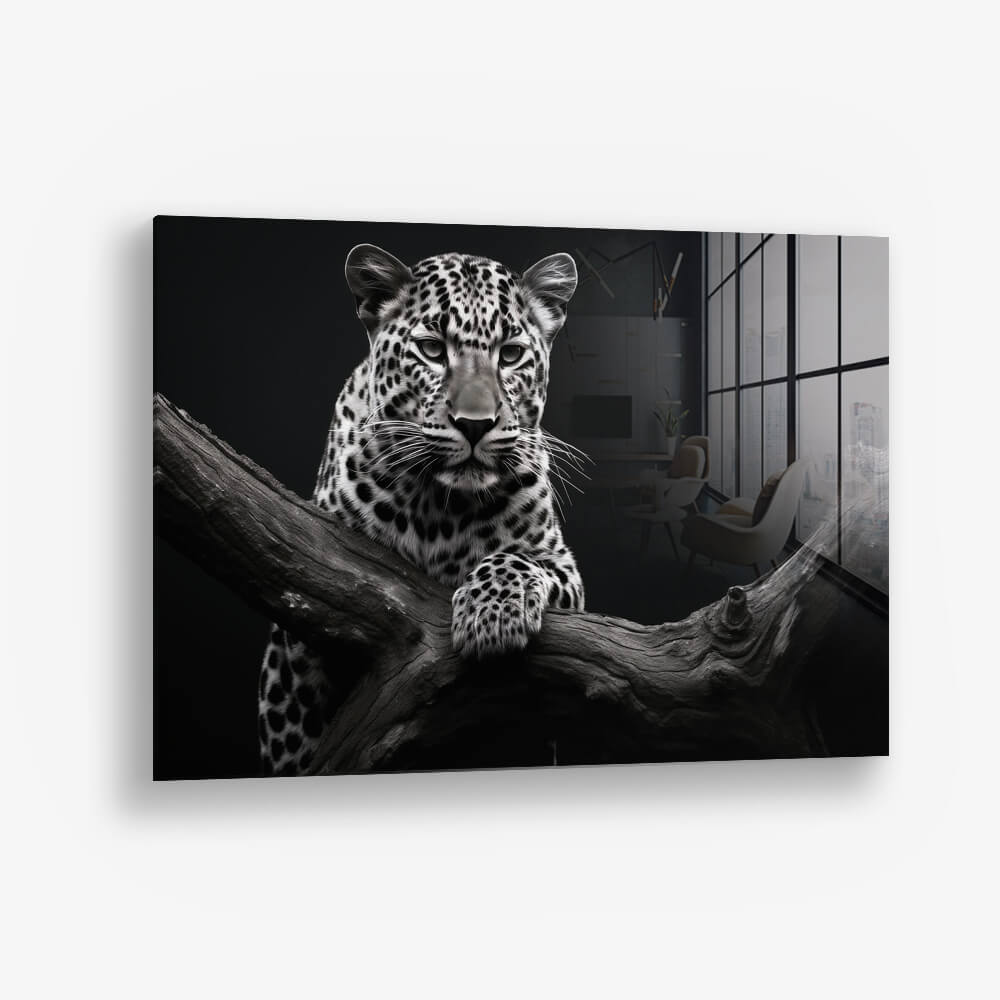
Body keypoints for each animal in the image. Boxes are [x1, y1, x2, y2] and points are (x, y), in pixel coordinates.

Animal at [257, 243, 585, 776]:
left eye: (510, 355)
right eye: (432, 350)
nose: (475, 424)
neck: (441, 507)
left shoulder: (561, 566)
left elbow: (515, 558)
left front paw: (492, 617)